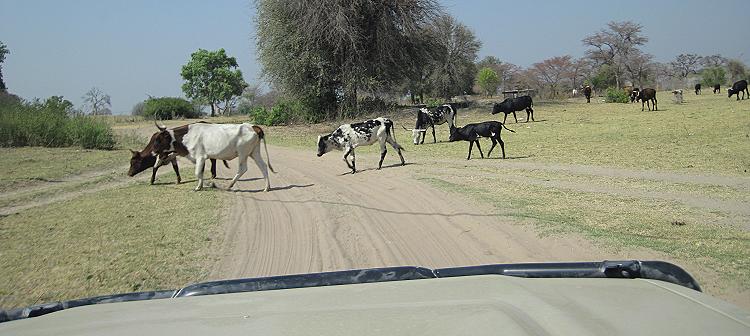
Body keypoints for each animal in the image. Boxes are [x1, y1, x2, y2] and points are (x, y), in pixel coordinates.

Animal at [147, 122, 276, 192]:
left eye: (158, 139)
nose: (153, 152)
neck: (187, 136)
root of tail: (253, 126)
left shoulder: (200, 157)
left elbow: (197, 172)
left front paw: (198, 187)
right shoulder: (201, 159)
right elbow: (201, 172)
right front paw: (201, 185)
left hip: (243, 153)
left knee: (243, 168)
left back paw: (229, 185)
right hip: (254, 152)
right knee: (263, 166)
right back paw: (267, 187)